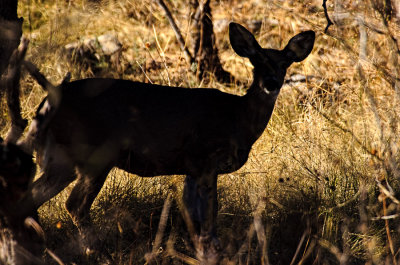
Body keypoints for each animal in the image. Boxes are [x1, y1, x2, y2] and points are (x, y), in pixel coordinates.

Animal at [15, 22, 314, 262]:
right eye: (256, 62)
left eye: (285, 63)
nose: (271, 83)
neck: (237, 119)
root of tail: (45, 104)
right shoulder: (205, 158)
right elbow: (209, 214)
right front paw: (211, 252)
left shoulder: (192, 168)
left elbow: (193, 214)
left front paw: (199, 250)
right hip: (95, 154)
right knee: (74, 204)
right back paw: (96, 253)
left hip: (63, 160)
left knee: (31, 198)